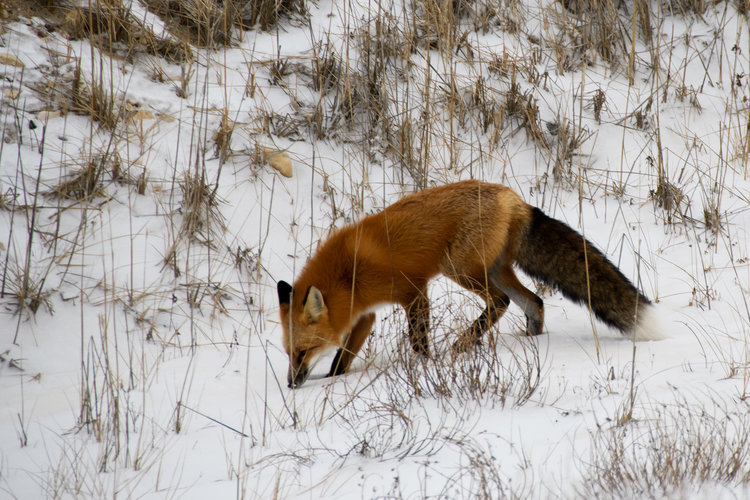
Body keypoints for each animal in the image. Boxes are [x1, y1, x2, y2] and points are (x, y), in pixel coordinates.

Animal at [277, 180, 659, 388]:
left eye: (302, 352)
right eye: (289, 353)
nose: (291, 384)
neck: (349, 272)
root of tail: (513, 197)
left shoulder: (414, 292)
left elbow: (418, 342)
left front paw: (425, 368)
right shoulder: (365, 315)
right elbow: (341, 360)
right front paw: (332, 383)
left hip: (458, 267)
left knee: (502, 302)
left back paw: (464, 344)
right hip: (493, 269)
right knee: (533, 301)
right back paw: (530, 342)